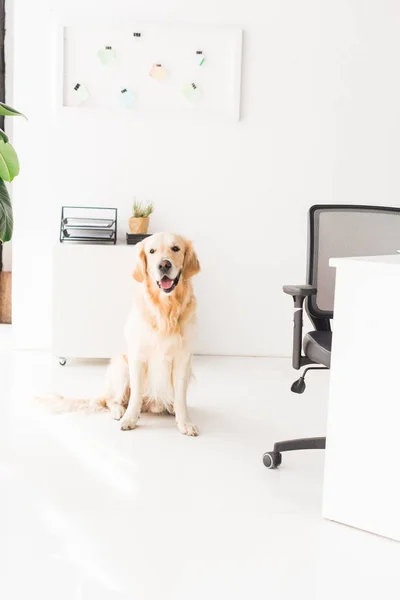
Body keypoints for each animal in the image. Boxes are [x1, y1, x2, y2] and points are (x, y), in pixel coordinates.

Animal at [40, 233, 200, 436]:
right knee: (111, 400)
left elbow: (180, 398)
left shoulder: (183, 358)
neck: (166, 308)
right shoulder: (138, 356)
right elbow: (136, 393)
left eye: (176, 249)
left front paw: (184, 422)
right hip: (121, 367)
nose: (164, 265)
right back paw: (118, 410)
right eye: (152, 251)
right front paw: (130, 419)